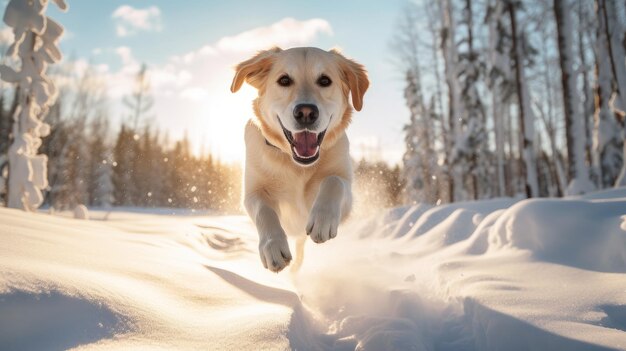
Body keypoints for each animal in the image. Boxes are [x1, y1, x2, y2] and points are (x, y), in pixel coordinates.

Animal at [229, 47, 366, 272]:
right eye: (284, 80)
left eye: (325, 80)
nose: (306, 112)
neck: (297, 166)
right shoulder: (252, 192)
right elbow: (263, 211)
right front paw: (273, 247)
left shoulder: (346, 193)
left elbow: (333, 181)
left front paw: (322, 220)